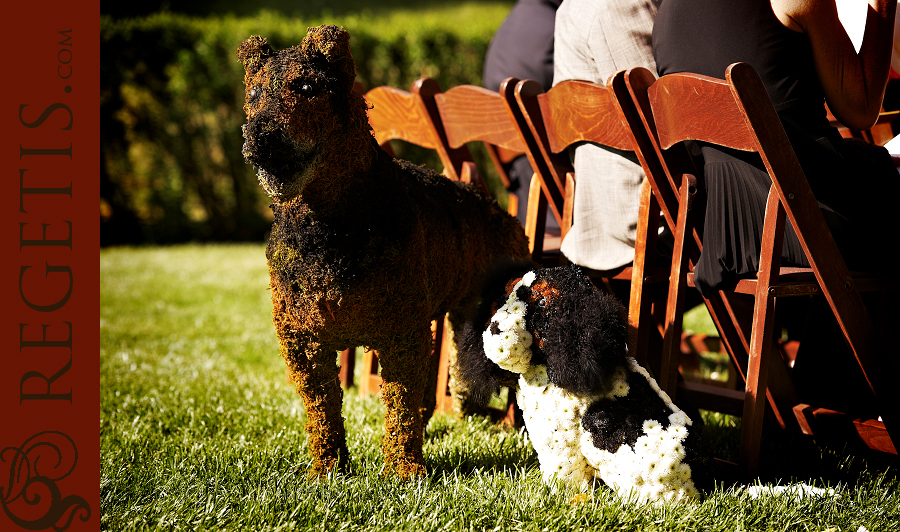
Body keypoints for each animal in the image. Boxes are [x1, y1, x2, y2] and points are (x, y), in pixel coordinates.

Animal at [239, 26, 532, 478]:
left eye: (306, 88)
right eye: (253, 93)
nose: (258, 139)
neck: (329, 226)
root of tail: (495, 206)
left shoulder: (401, 335)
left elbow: (399, 408)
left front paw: (404, 471)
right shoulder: (303, 341)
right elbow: (323, 411)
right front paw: (328, 469)